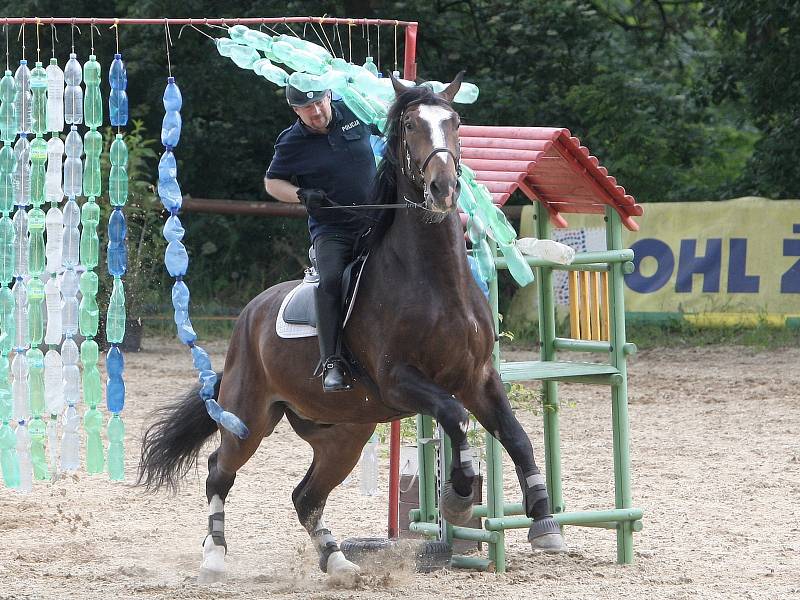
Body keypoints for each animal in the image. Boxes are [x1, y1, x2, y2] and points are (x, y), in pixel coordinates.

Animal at [138, 72, 564, 584]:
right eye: (409, 127)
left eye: (456, 121)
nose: (443, 187)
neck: (434, 280)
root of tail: (250, 316)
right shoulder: (400, 382)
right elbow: (455, 417)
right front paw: (460, 497)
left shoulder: (478, 377)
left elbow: (516, 436)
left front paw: (544, 522)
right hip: (248, 418)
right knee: (219, 470)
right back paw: (215, 556)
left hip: (343, 435)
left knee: (305, 496)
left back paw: (337, 559)